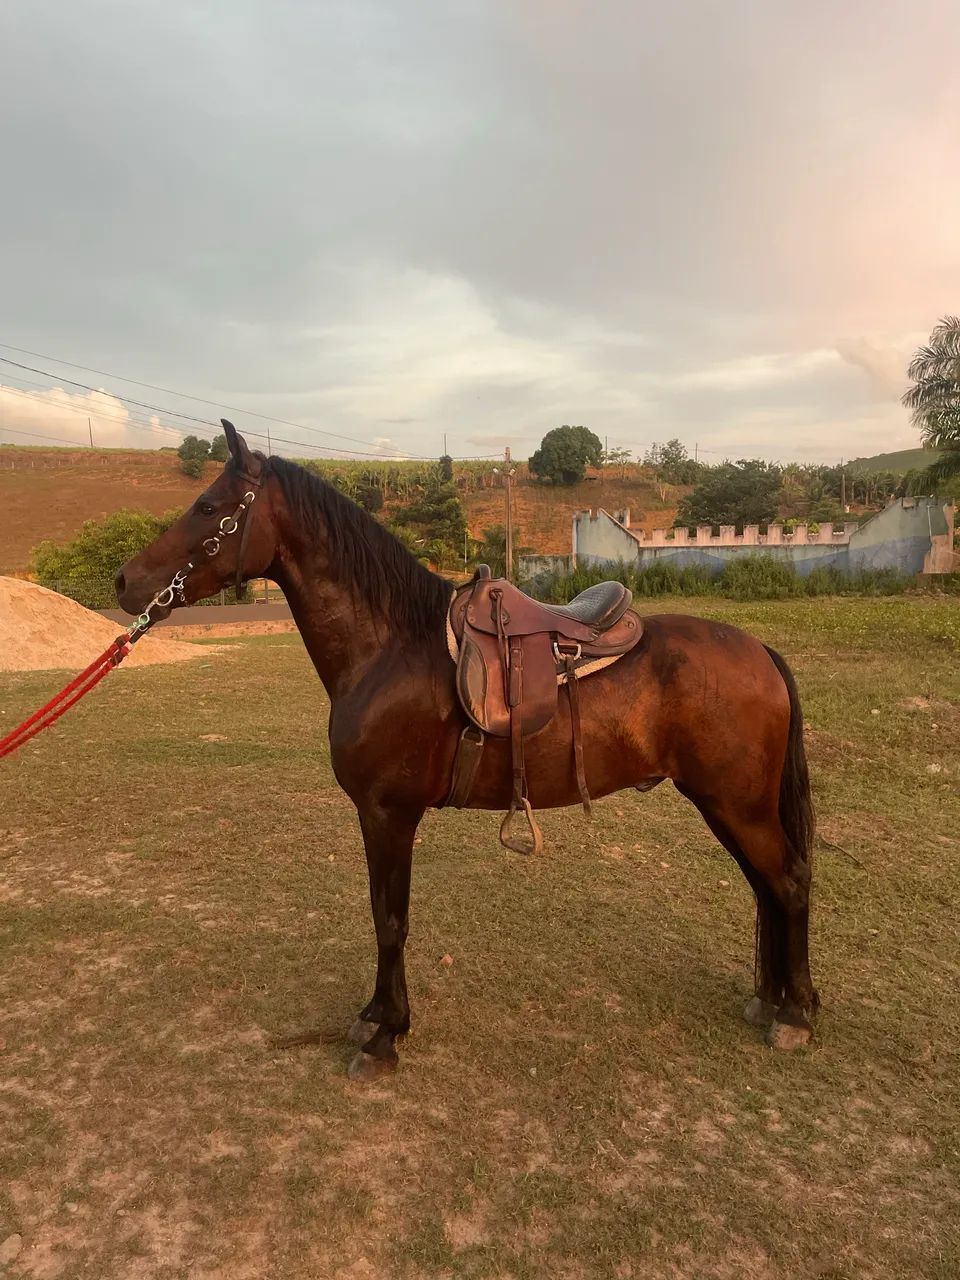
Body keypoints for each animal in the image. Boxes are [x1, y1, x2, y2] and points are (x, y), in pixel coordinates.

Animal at [115, 423, 818, 1081]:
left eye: (209, 506)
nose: (126, 582)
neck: (389, 647)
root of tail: (760, 652)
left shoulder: (389, 813)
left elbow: (391, 919)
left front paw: (386, 1036)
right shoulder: (377, 817)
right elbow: (381, 913)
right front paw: (375, 1015)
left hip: (737, 805)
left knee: (786, 882)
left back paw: (796, 1015)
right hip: (729, 806)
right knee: (767, 886)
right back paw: (772, 1000)